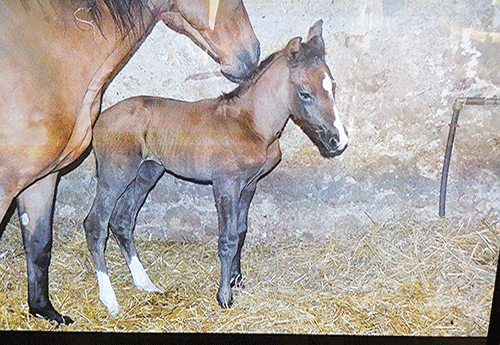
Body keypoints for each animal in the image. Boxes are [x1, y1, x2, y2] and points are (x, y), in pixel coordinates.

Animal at [84, 18, 348, 314]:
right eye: (305, 94)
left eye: (332, 87)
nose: (338, 140)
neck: (250, 123)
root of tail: (99, 119)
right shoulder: (225, 184)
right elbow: (227, 238)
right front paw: (224, 296)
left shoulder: (249, 185)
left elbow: (241, 231)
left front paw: (237, 281)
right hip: (116, 174)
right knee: (96, 224)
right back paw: (109, 299)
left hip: (146, 173)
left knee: (122, 220)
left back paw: (145, 283)